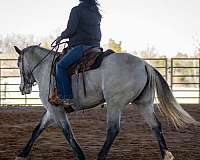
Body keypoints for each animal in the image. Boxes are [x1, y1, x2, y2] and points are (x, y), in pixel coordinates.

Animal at [14, 45, 198, 160]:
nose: (22, 88)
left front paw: (81, 156)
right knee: (156, 126)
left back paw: (101, 155)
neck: (46, 68)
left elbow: (67, 132)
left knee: (113, 129)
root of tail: (145, 64)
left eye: (18, 64)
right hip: (144, 104)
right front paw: (22, 153)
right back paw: (166, 154)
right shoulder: (52, 110)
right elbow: (37, 129)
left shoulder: (56, 110)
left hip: (114, 103)